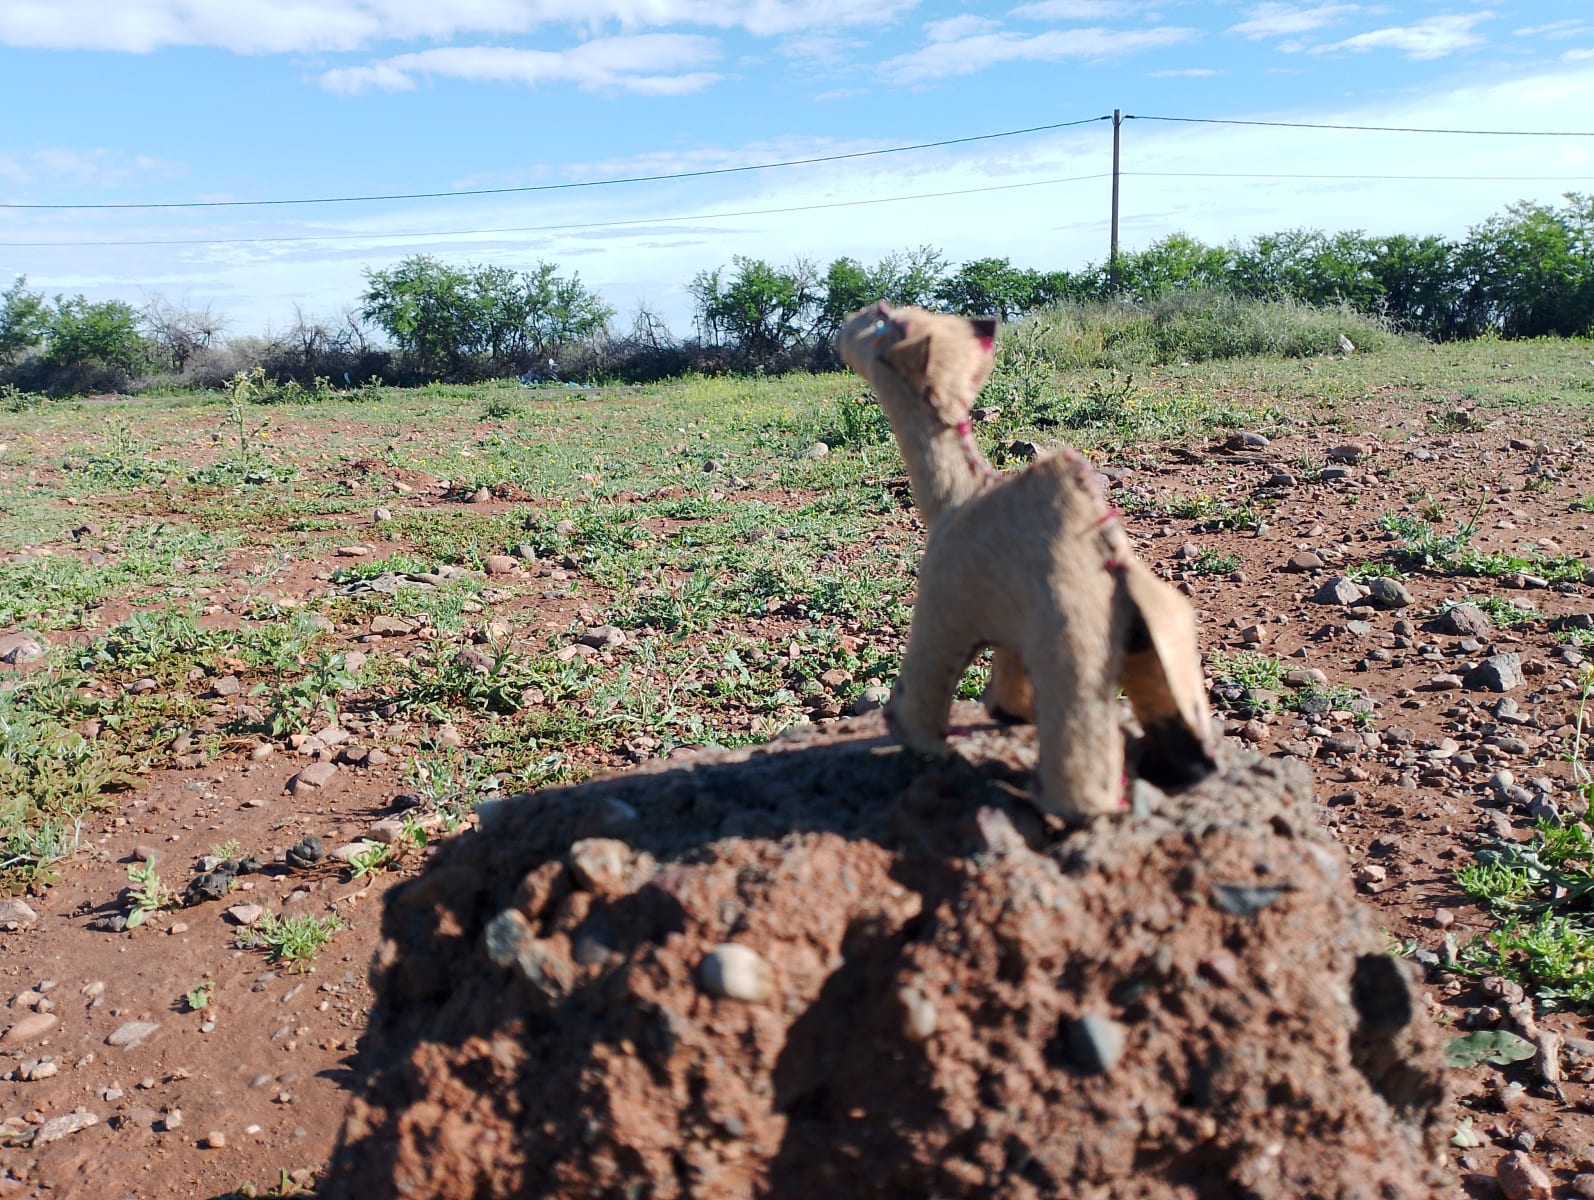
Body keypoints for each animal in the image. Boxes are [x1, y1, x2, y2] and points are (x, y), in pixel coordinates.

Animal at [836, 301, 1218, 819]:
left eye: (882, 321)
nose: (844, 326)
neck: (951, 499)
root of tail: (1116, 573)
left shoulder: (943, 606)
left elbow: (924, 686)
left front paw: (921, 744)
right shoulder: (1009, 621)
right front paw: (1007, 713)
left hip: (1071, 641)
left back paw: (1073, 808)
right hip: (1149, 635)